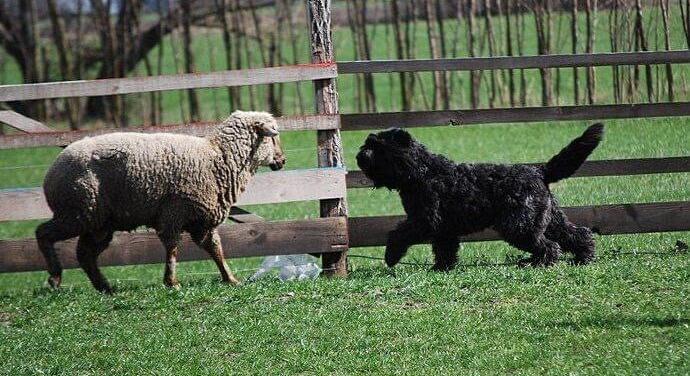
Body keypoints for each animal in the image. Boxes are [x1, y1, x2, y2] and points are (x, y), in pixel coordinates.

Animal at [36, 110, 284, 292]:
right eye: (272, 138)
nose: (282, 160)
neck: (220, 157)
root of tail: (51, 172)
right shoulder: (175, 212)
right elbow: (173, 247)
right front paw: (172, 282)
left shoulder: (201, 219)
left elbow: (215, 249)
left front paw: (230, 278)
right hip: (78, 211)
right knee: (43, 233)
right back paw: (55, 277)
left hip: (97, 222)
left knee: (85, 254)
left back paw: (104, 287)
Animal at [354, 125, 600, 270]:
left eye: (379, 147)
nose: (360, 155)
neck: (421, 172)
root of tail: (539, 171)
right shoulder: (444, 228)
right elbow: (444, 249)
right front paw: (441, 268)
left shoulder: (424, 220)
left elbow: (398, 234)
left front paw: (391, 256)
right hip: (549, 219)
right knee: (576, 234)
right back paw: (583, 256)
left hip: (520, 225)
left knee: (549, 245)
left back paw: (538, 263)